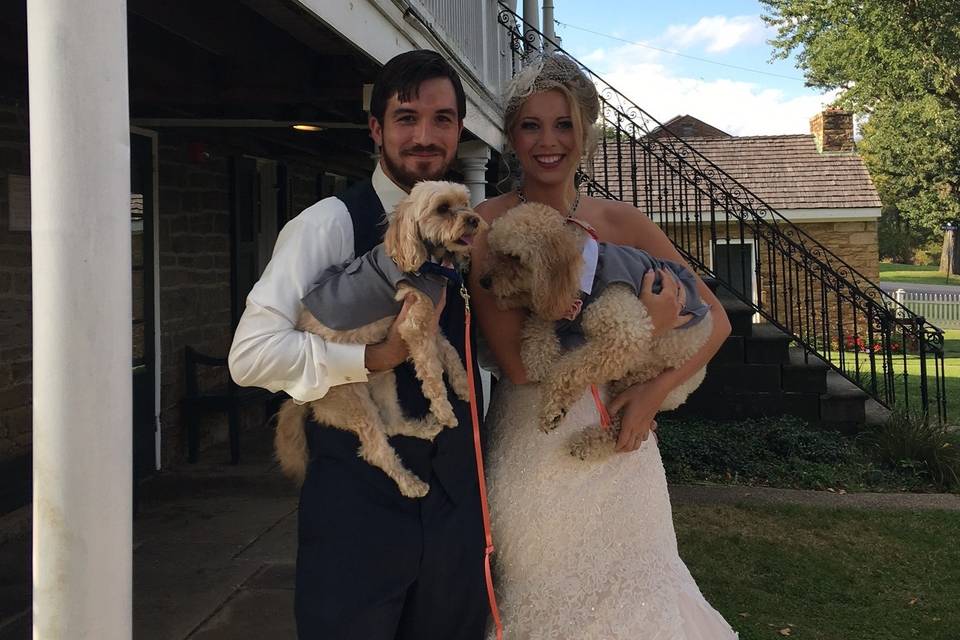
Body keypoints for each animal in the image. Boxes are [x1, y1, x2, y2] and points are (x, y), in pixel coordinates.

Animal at [276, 180, 488, 496]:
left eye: (465, 202)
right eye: (442, 208)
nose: (473, 219)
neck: (426, 262)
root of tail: (303, 400)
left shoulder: (429, 324)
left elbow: (451, 353)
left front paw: (464, 387)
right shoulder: (415, 326)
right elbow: (433, 374)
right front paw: (445, 411)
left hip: (383, 380)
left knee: (391, 423)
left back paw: (423, 428)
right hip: (355, 402)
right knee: (376, 450)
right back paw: (411, 483)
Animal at [480, 202, 712, 458]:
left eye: (513, 256)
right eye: (493, 250)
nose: (483, 282)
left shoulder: (623, 332)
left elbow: (569, 369)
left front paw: (554, 407)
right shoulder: (556, 307)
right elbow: (539, 323)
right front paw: (537, 358)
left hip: (648, 377)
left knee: (623, 424)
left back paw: (587, 442)